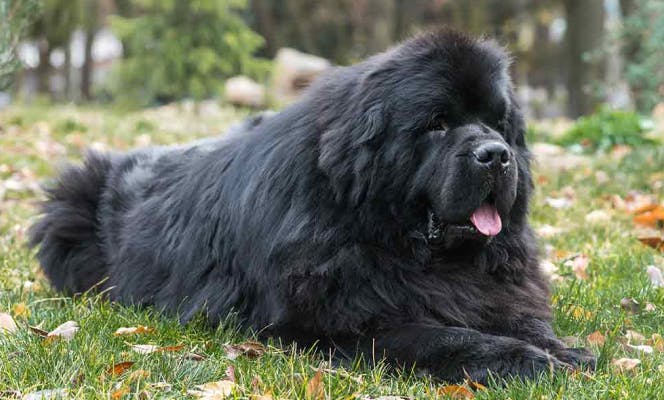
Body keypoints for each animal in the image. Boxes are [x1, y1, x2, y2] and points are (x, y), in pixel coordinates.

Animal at [29, 30, 596, 382]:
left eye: (499, 123)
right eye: (438, 123)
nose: (496, 154)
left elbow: (516, 315)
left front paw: (562, 348)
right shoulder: (338, 323)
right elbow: (442, 336)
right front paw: (525, 360)